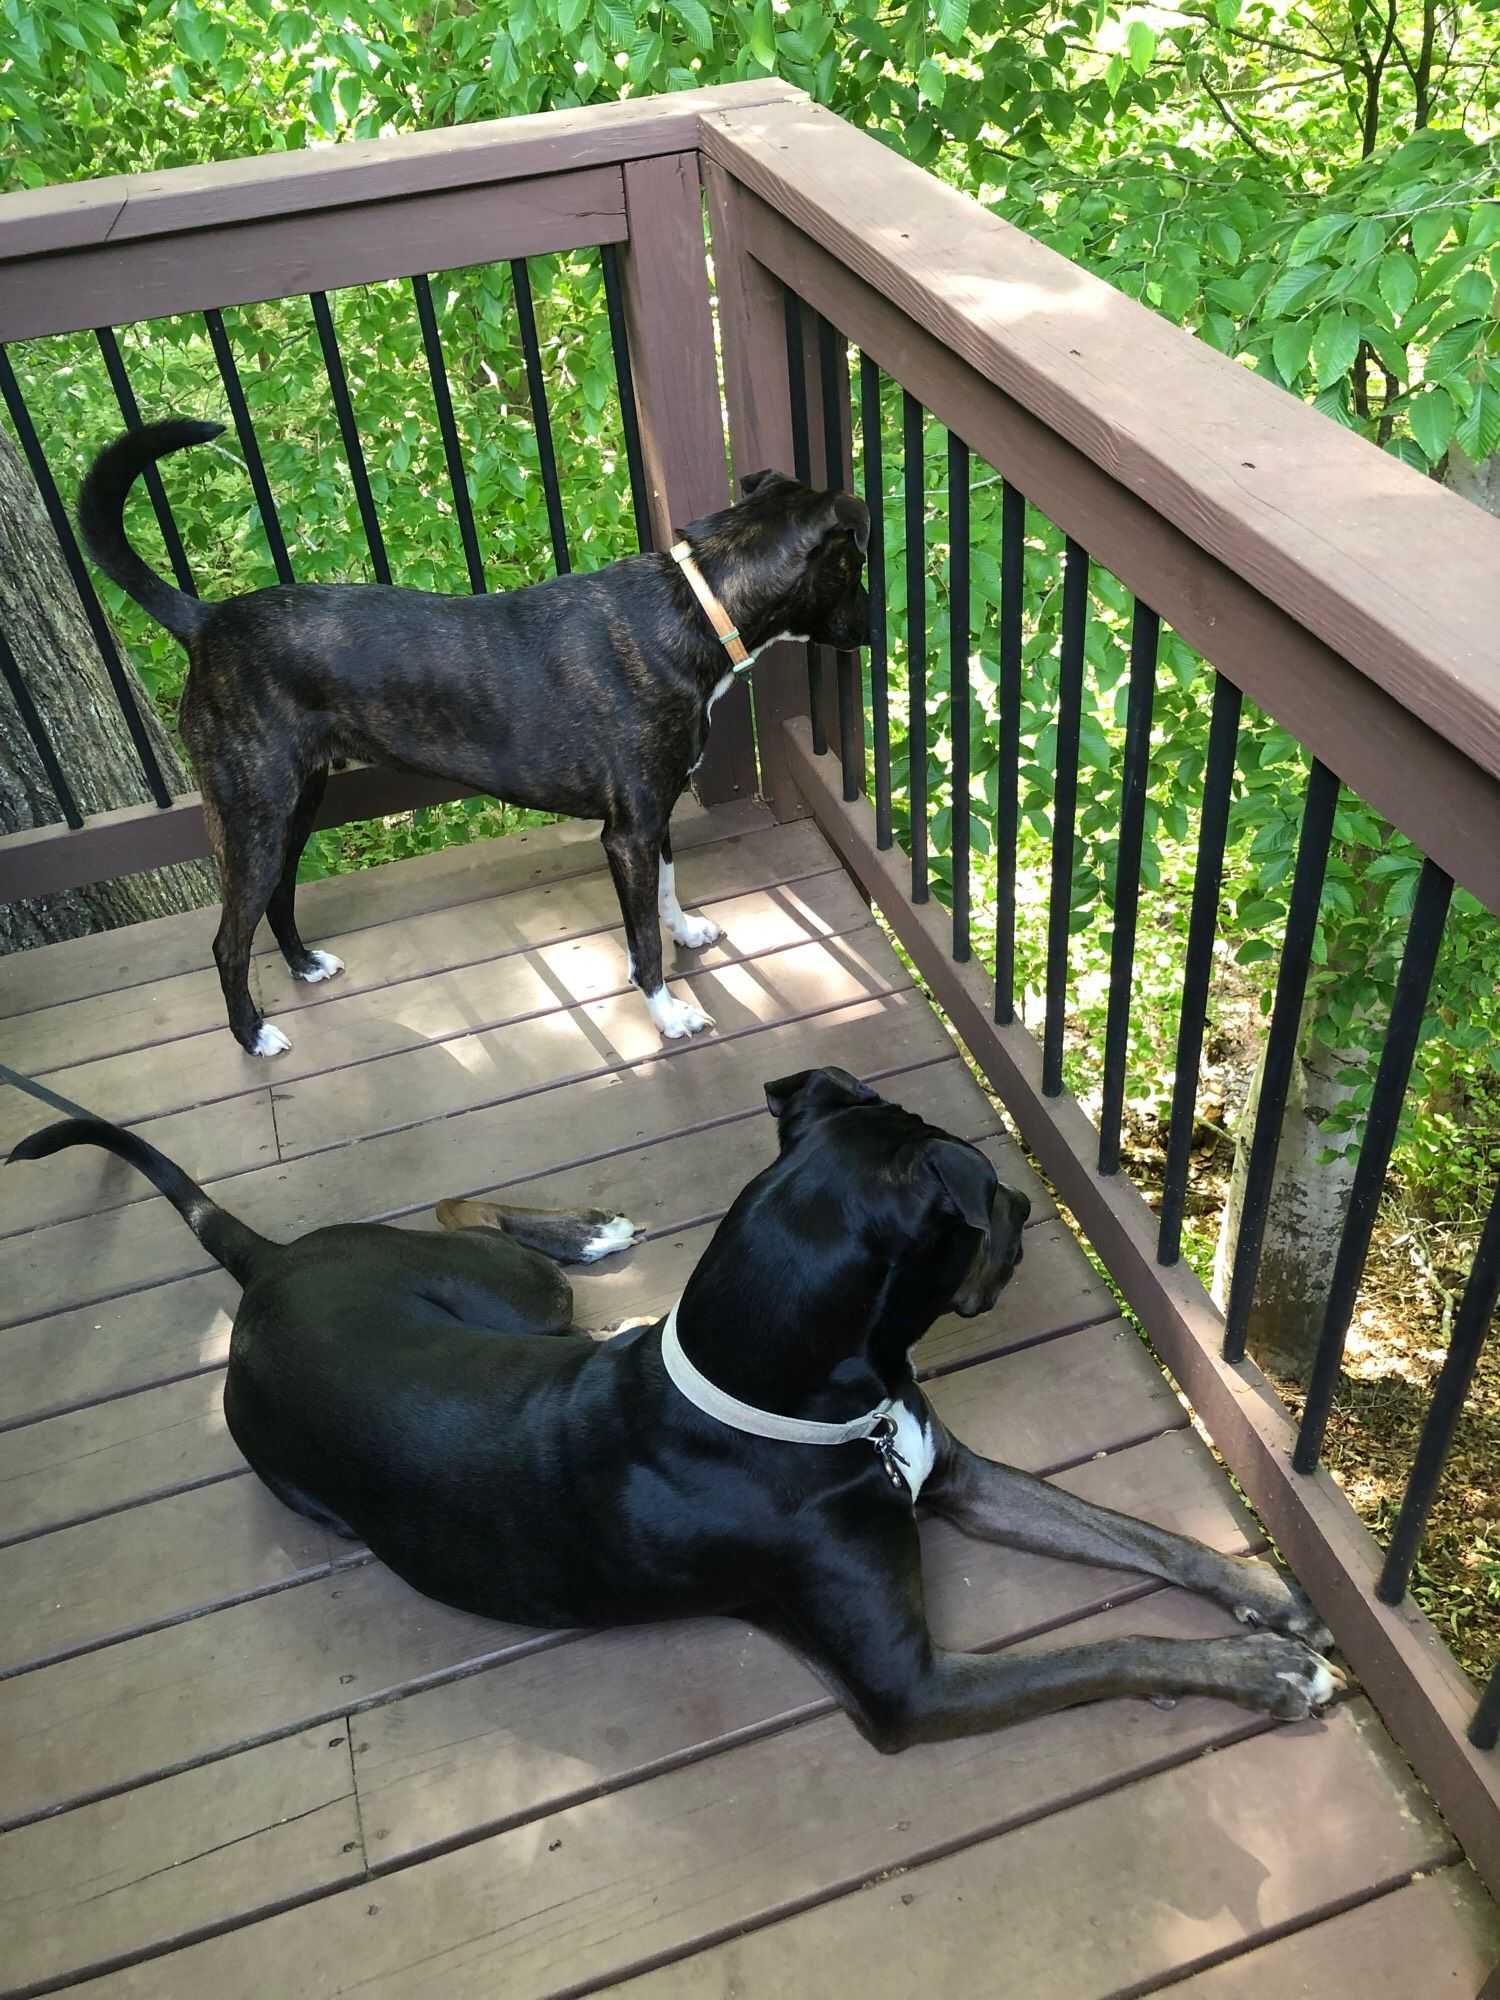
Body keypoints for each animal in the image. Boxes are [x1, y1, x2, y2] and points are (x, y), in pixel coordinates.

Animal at [11, 1072, 1336, 1744]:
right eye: (991, 1204)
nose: (1020, 1198)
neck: (790, 1405)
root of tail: (270, 1263)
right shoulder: (913, 1685)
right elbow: (1110, 1648)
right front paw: (1264, 1670)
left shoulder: (955, 1472)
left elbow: (1133, 1531)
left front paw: (1263, 1591)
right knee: (455, 1207)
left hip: (517, 1299)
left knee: (459, 1208)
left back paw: (588, 1229)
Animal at [82, 424, 876, 1064]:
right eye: (859, 566)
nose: (873, 631)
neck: (695, 606)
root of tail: (208, 621)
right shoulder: (627, 833)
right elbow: (642, 943)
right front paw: (667, 1013)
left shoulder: (656, 810)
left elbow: (669, 888)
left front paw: (684, 930)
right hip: (252, 813)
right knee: (227, 940)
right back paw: (251, 1035)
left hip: (295, 803)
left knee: (278, 893)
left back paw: (304, 965)